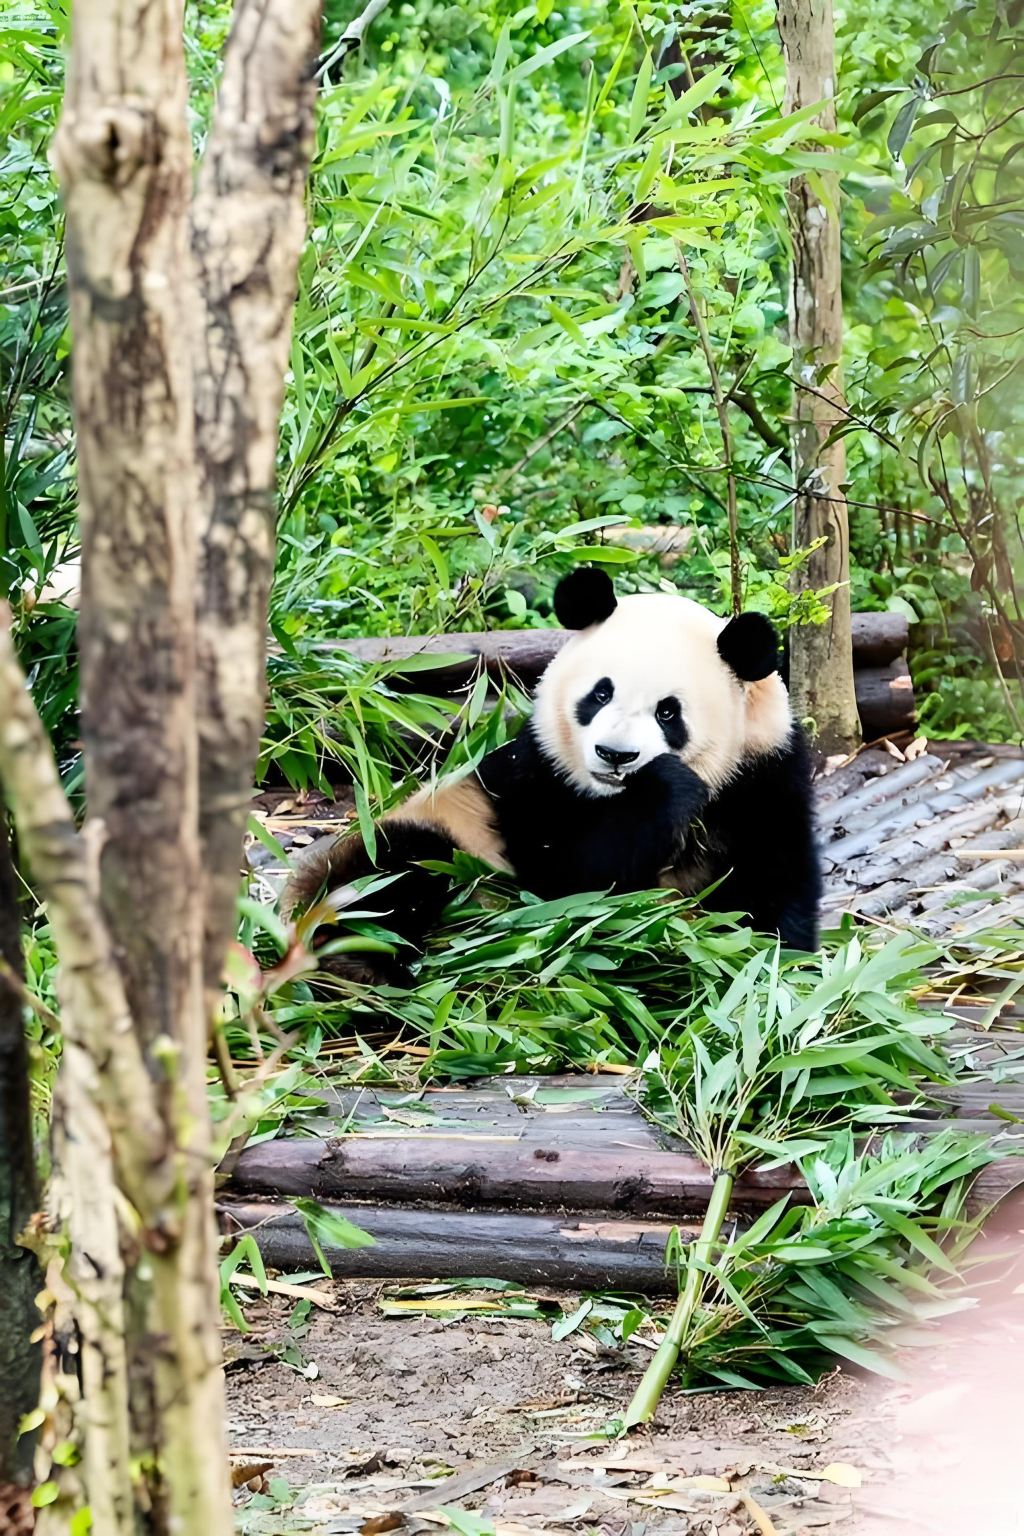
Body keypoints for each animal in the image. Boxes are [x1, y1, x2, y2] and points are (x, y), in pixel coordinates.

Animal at [281, 567, 821, 978]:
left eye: (669, 712)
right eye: (600, 693)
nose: (615, 755)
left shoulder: (764, 776)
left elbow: (774, 879)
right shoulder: (537, 780)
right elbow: (577, 881)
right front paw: (666, 788)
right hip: (433, 841)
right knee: (391, 876)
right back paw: (367, 961)